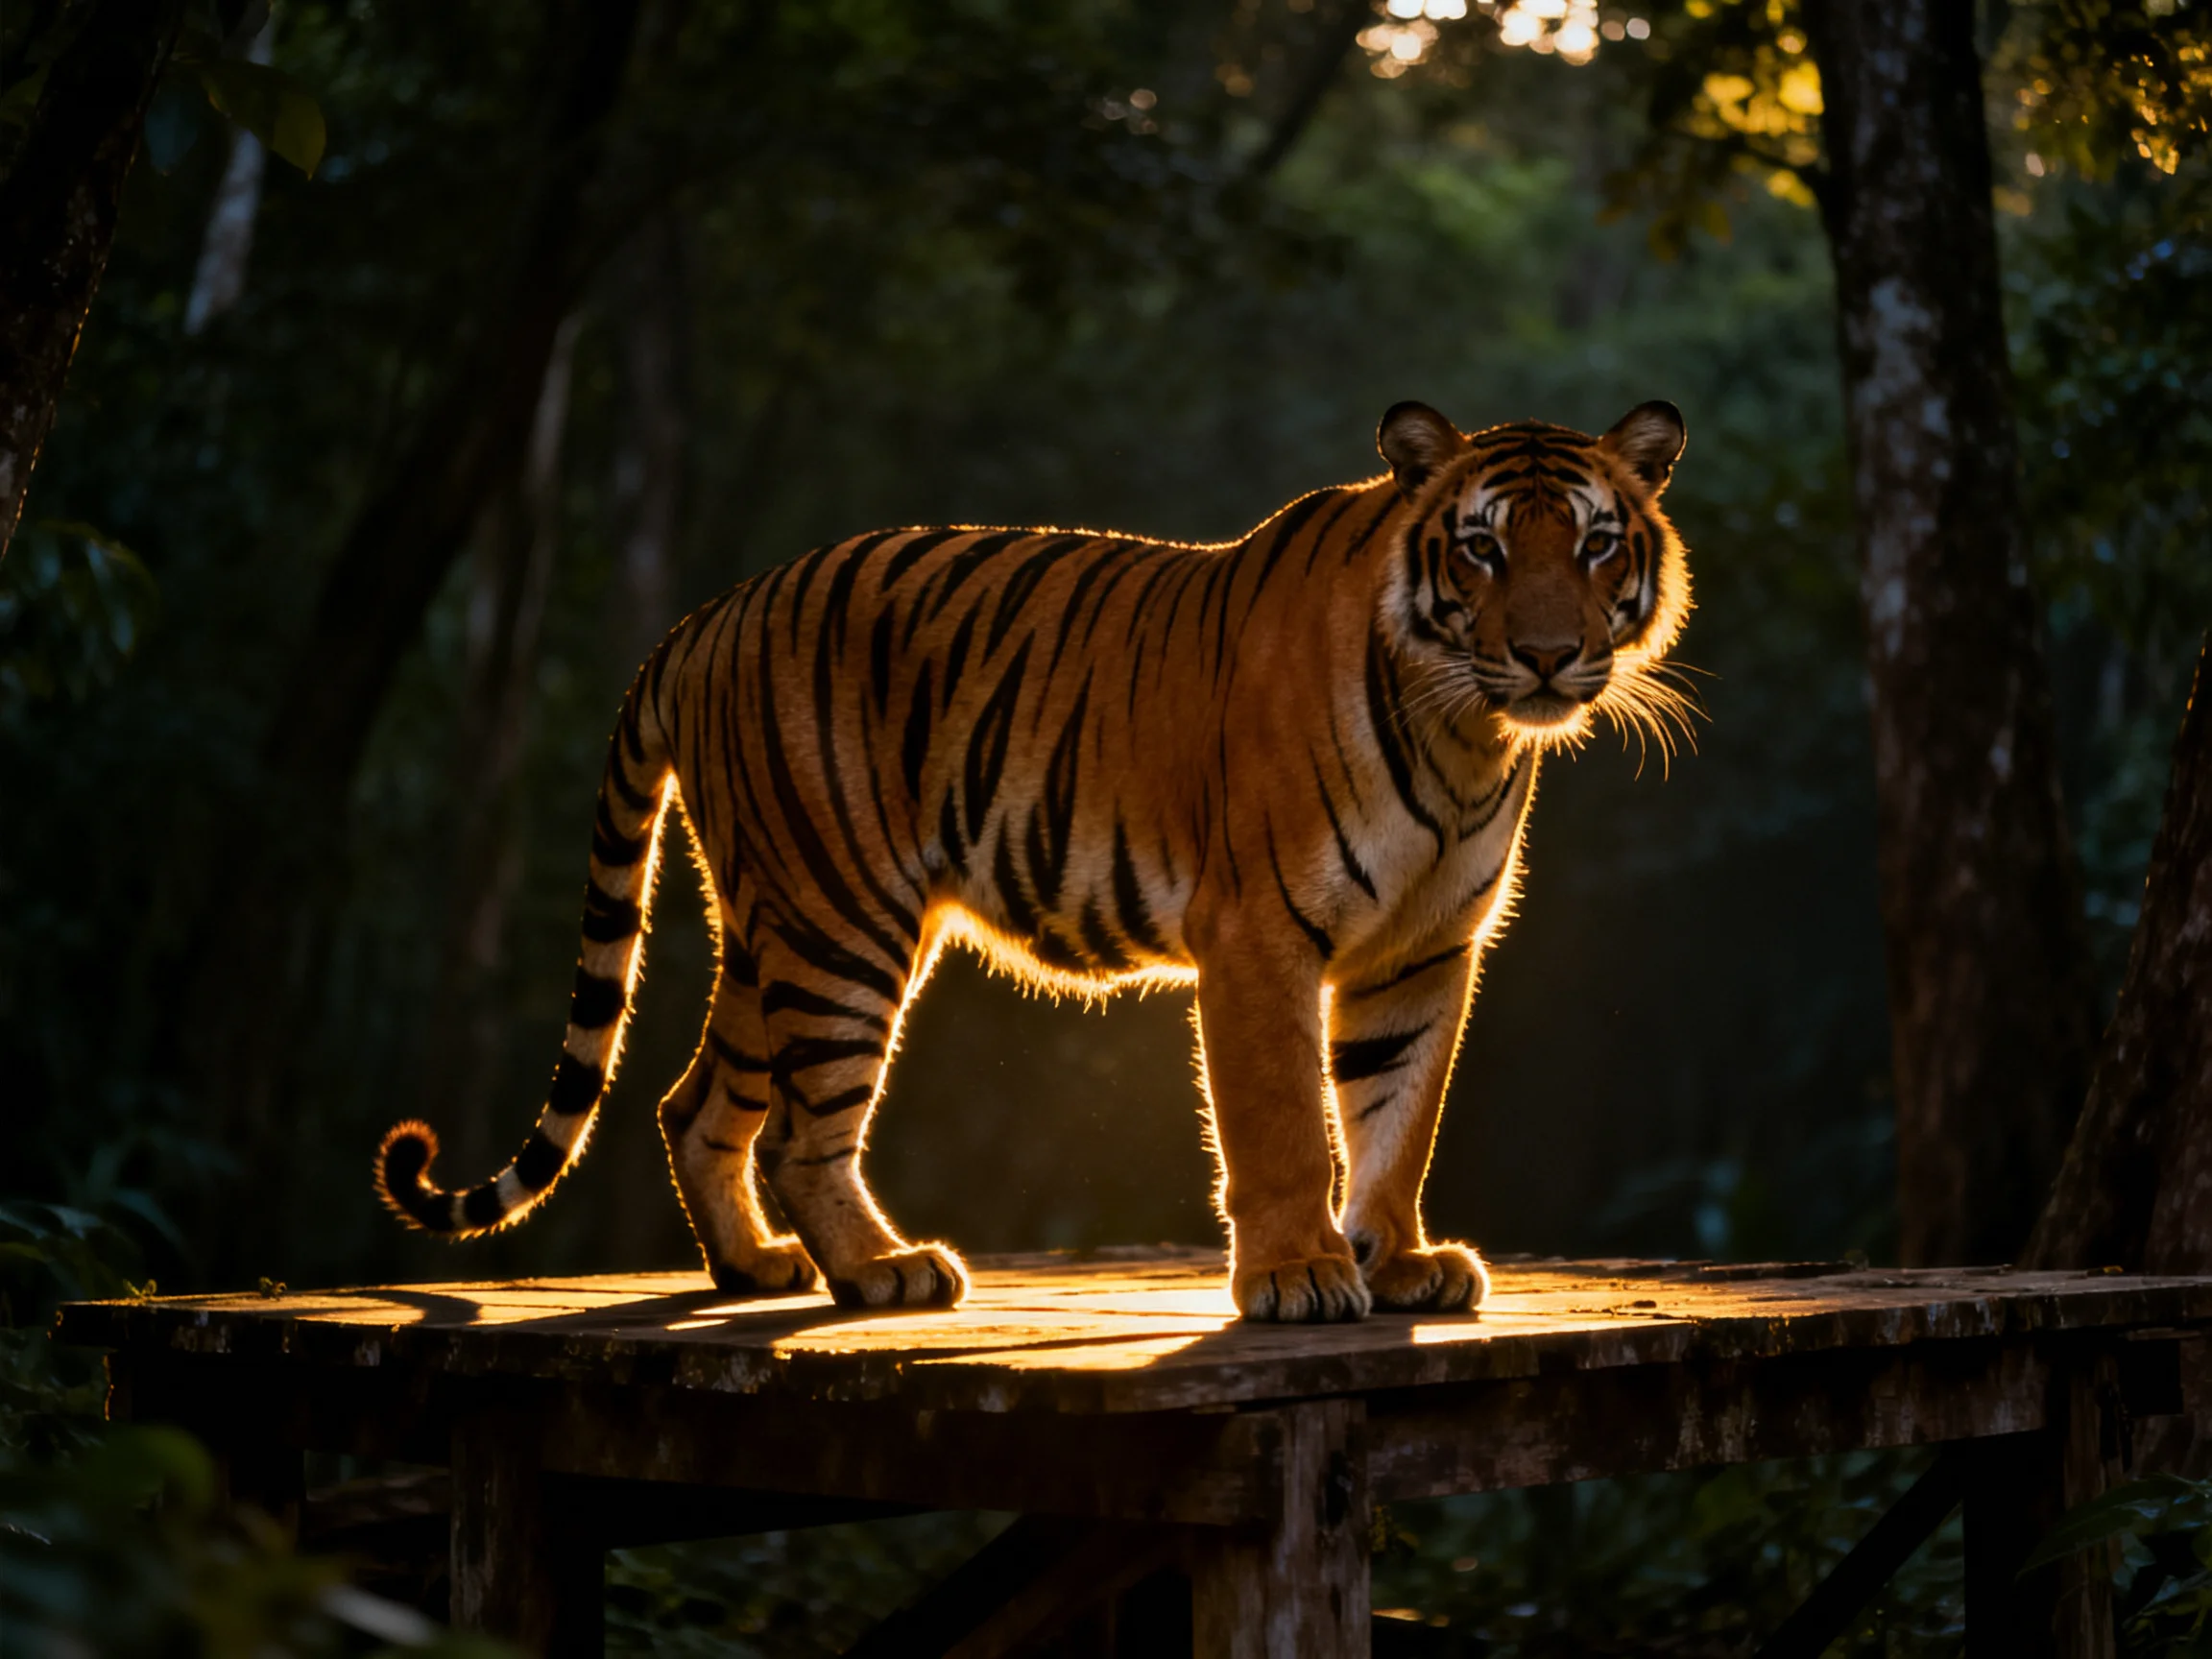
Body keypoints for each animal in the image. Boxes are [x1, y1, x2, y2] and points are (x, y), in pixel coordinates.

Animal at [376, 399, 1692, 1323]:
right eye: (1480, 551)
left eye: (1595, 544)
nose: (1546, 654)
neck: (1466, 734)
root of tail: (703, 617)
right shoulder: (1260, 933)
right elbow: (1282, 1120)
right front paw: (1302, 1274)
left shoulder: (1422, 950)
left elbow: (1395, 1111)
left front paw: (1401, 1259)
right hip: (840, 925)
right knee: (805, 1129)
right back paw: (883, 1271)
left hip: (772, 922)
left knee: (694, 1102)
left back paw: (755, 1266)